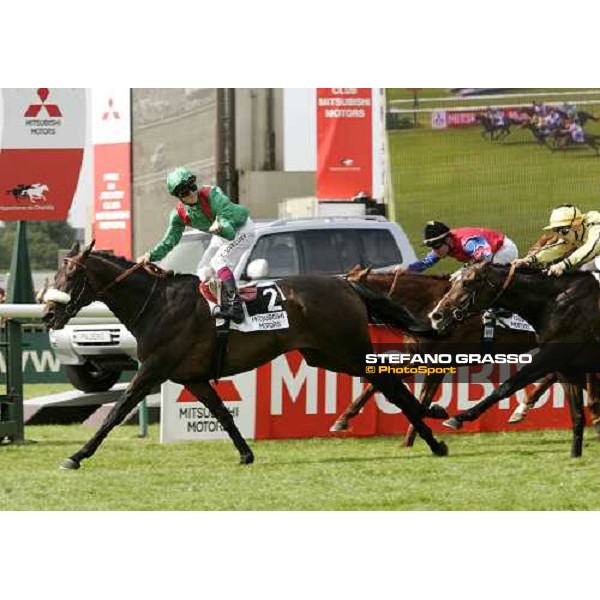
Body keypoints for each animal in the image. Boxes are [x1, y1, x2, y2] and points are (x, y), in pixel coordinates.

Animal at [42, 239, 448, 468]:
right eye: (56, 275)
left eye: (71, 277)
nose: (47, 313)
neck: (157, 303)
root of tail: (346, 284)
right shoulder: (192, 377)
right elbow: (223, 414)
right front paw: (246, 454)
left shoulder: (153, 369)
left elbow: (116, 411)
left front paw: (77, 456)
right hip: (324, 354)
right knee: (385, 383)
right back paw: (432, 426)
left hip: (345, 348)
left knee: (389, 383)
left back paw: (433, 434)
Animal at [426, 264, 600, 458]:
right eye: (453, 281)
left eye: (468, 282)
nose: (436, 316)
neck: (556, 303)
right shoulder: (564, 365)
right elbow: (577, 414)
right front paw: (575, 455)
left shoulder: (553, 355)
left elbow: (508, 385)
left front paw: (459, 417)